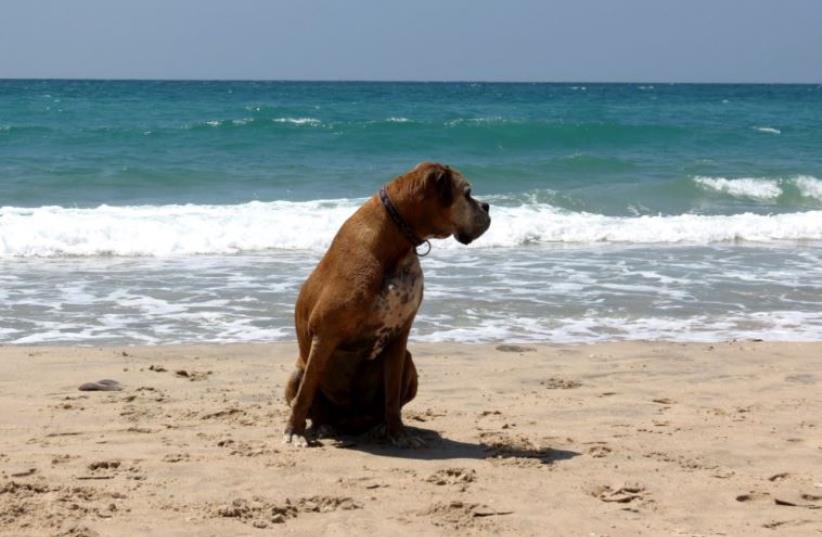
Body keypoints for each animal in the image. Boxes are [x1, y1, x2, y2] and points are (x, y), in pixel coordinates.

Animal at [284, 161, 490, 446]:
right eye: (468, 193)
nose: (487, 206)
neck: (396, 241)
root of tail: (351, 424)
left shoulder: (398, 338)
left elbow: (392, 396)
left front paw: (398, 433)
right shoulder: (324, 335)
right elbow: (304, 394)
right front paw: (294, 431)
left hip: (409, 362)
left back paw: (379, 427)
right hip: (297, 371)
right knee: (311, 399)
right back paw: (322, 427)